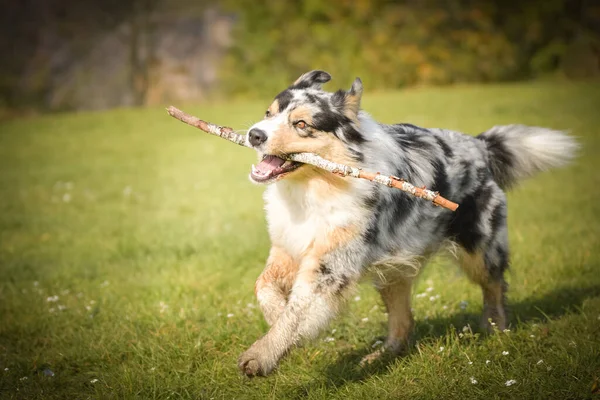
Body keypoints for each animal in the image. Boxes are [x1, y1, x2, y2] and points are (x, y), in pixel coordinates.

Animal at [237, 70, 580, 376]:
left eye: (302, 124)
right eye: (268, 113)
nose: (254, 134)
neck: (314, 188)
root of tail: (479, 144)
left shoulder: (331, 265)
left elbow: (298, 311)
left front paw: (261, 355)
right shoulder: (288, 245)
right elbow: (264, 286)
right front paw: (277, 317)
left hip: (479, 247)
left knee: (495, 284)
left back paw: (495, 326)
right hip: (393, 268)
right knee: (403, 320)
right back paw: (381, 356)